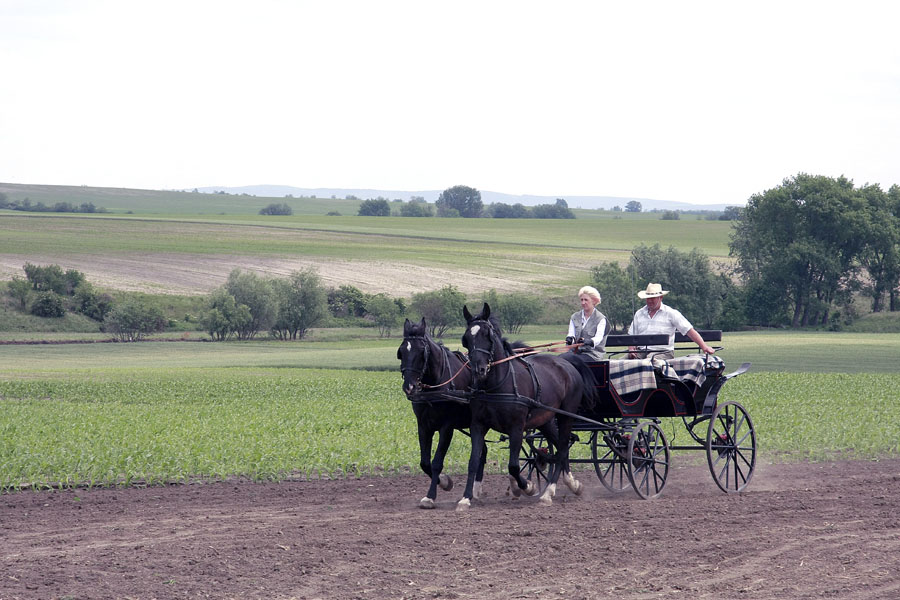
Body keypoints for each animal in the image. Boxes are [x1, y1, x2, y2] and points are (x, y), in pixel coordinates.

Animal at [398, 316, 488, 508]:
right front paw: (445, 482)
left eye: (421, 351)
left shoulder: (447, 427)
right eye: (401, 351)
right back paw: (475, 490)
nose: (409, 387)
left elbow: (437, 462)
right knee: (482, 452)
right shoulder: (423, 426)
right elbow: (425, 463)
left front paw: (431, 496)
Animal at [458, 302, 592, 508]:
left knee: (562, 447)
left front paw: (528, 486)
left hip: (566, 416)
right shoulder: (478, 425)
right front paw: (465, 498)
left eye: (488, 336)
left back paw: (549, 492)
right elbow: (473, 461)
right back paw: (572, 483)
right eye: (466, 338)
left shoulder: (516, 427)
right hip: (545, 421)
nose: (478, 370)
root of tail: (567, 363)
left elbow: (513, 466)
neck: (496, 386)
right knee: (561, 447)